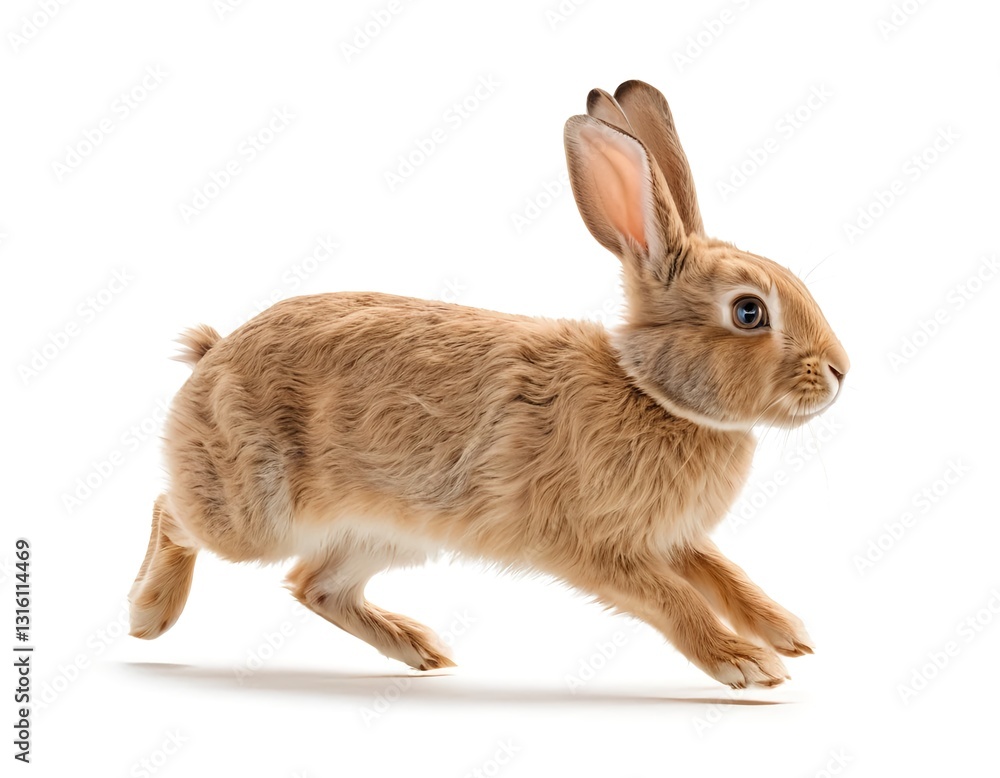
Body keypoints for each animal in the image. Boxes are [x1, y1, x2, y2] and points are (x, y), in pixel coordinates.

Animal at [128, 80, 848, 689]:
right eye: (749, 312)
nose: (841, 371)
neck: (651, 390)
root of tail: (213, 357)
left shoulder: (670, 537)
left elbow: (723, 573)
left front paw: (787, 632)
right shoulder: (595, 547)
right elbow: (673, 600)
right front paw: (748, 664)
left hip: (387, 532)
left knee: (315, 585)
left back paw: (420, 650)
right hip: (256, 514)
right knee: (174, 514)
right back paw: (148, 615)